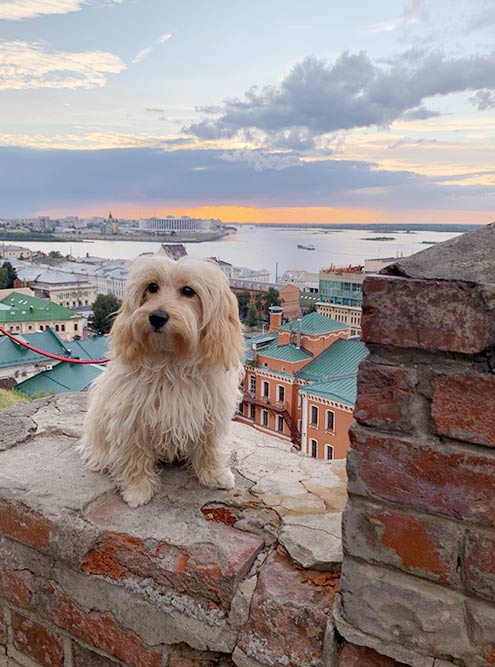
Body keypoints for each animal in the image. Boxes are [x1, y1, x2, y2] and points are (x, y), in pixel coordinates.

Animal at [78, 254, 246, 506]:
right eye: (152, 287)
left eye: (188, 291)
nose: (157, 317)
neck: (171, 360)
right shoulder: (131, 417)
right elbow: (134, 455)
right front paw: (137, 489)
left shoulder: (210, 412)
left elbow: (210, 446)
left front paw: (214, 474)